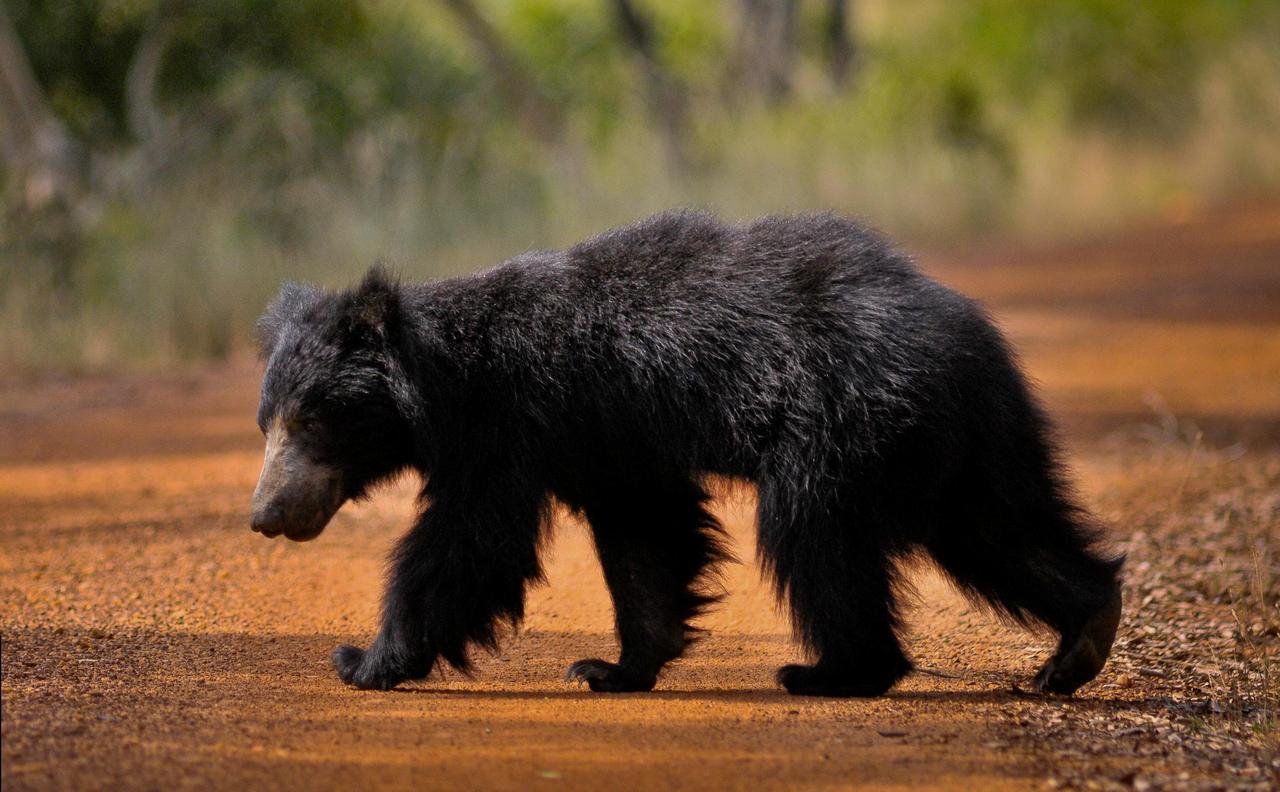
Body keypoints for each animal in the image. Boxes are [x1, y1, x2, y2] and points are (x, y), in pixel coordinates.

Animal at [247, 212, 1121, 701]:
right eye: (267, 424)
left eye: (307, 421)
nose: (263, 516)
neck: (443, 378)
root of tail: (963, 331)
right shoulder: (607, 439)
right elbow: (646, 539)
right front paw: (613, 668)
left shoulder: (510, 424)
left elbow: (471, 542)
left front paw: (363, 659)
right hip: (964, 442)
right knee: (1000, 531)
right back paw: (1077, 643)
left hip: (844, 422)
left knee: (816, 536)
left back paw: (833, 673)